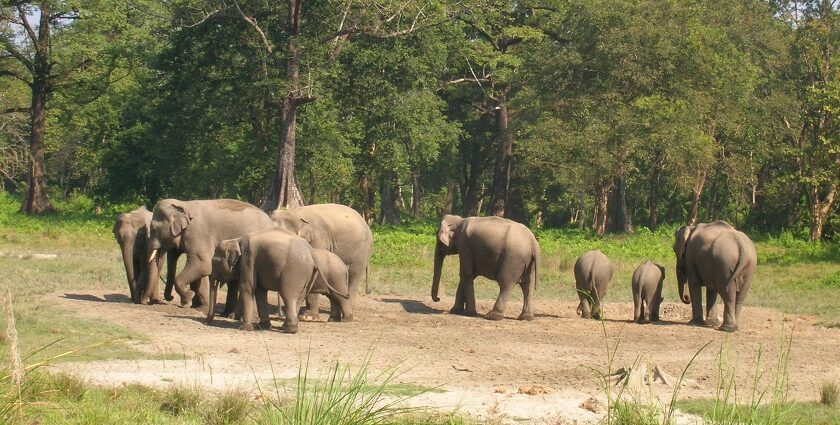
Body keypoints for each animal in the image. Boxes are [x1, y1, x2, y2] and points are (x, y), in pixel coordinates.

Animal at [139, 197, 274, 310]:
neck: (184, 205)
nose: (170, 298)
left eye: (154, 229)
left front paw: (189, 298)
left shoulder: (198, 234)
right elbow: (200, 269)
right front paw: (195, 305)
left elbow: (202, 264)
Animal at [212, 227, 352, 332]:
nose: (208, 322)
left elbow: (247, 287)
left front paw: (244, 328)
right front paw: (262, 326)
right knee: (306, 296)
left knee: (289, 295)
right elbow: (259, 291)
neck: (236, 239)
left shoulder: (248, 259)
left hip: (298, 272)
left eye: (215, 262)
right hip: (309, 275)